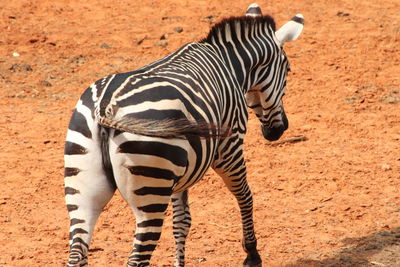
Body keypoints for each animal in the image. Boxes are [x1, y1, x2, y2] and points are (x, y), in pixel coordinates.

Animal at [64, 3, 304, 266]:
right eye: (288, 69)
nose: (279, 130)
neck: (231, 65)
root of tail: (106, 105)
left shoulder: (183, 171)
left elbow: (182, 221)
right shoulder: (229, 148)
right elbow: (245, 196)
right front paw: (252, 254)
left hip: (82, 187)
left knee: (77, 251)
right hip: (150, 189)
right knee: (137, 258)